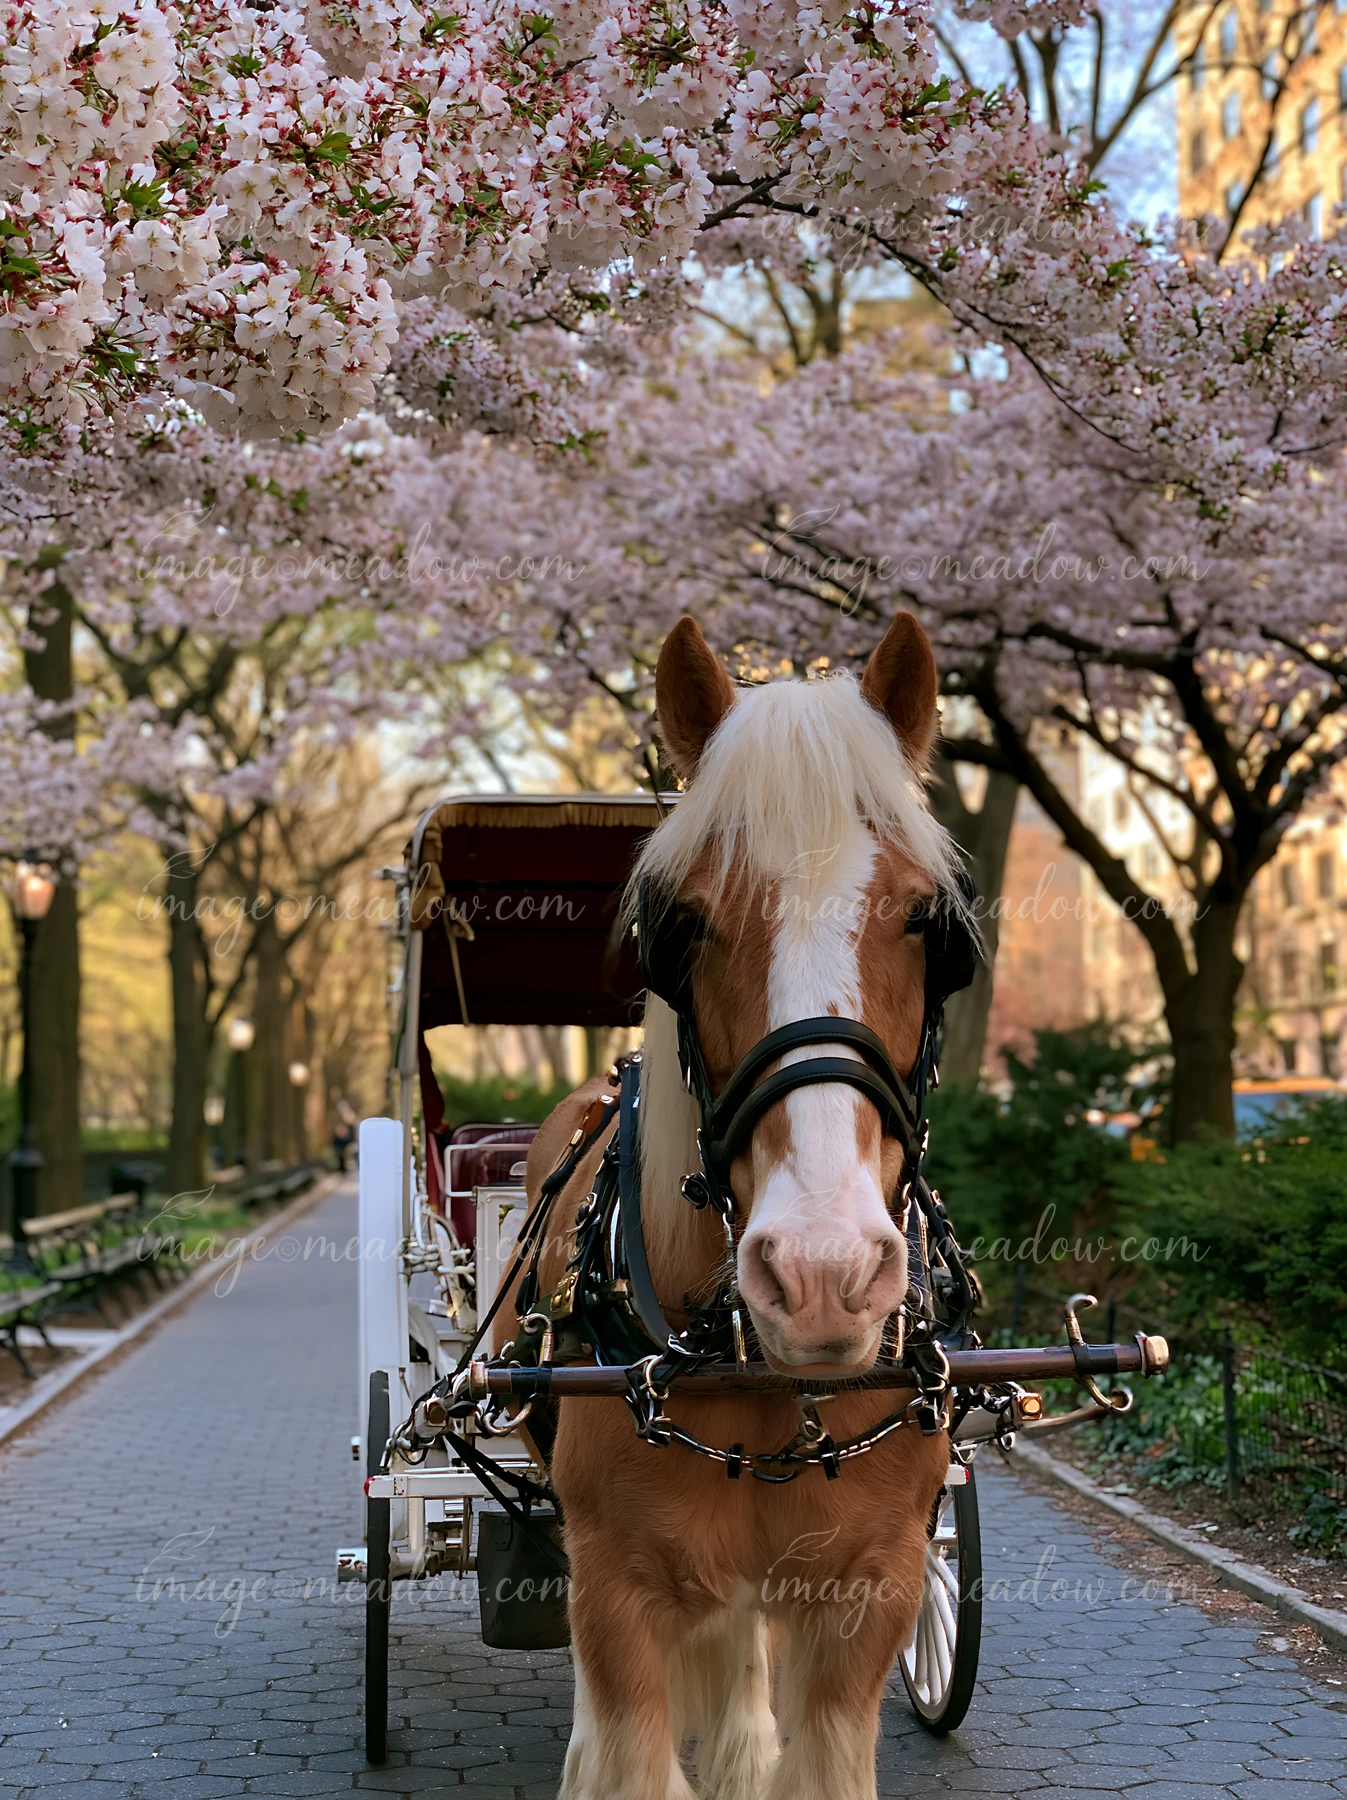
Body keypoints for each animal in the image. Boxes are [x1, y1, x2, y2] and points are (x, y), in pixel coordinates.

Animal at [504, 611, 969, 1800]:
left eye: (923, 918)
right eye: (688, 924)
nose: (820, 1272)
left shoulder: (874, 1591)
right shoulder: (616, 1591)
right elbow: (626, 1740)